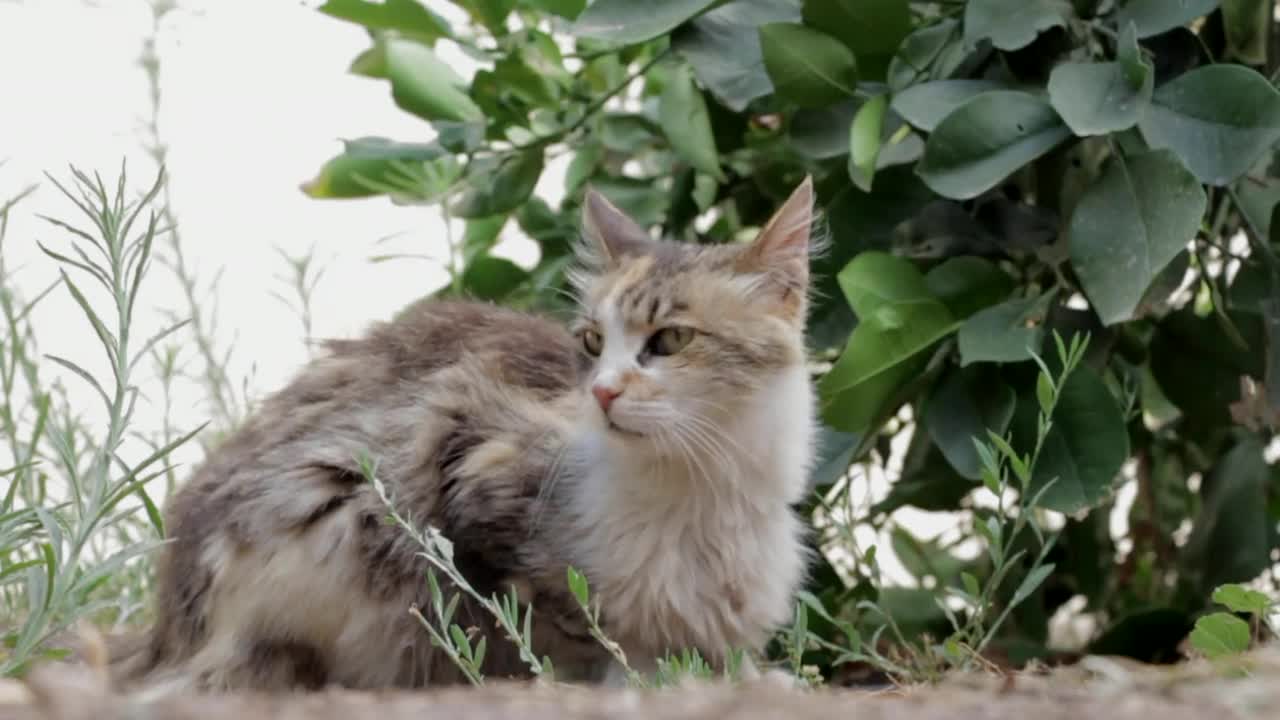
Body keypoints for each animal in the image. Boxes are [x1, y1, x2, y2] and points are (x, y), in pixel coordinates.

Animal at [104, 175, 814, 696]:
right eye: (592, 342)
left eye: (670, 340)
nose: (603, 392)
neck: (702, 494)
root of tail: (165, 630)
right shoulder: (467, 457)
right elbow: (572, 628)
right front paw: (624, 680)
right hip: (335, 504)